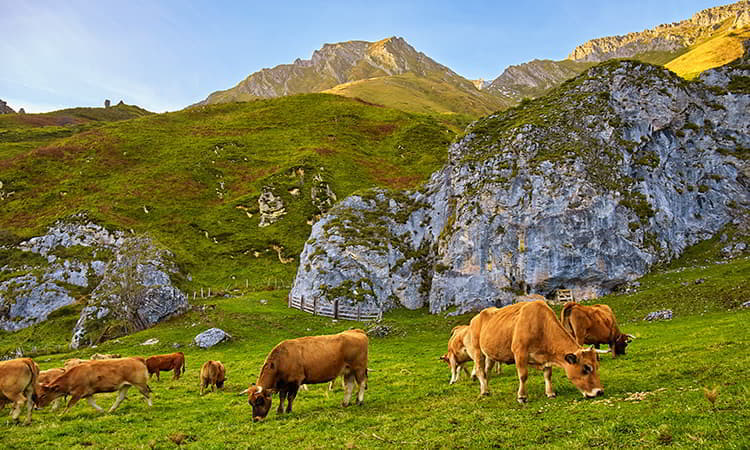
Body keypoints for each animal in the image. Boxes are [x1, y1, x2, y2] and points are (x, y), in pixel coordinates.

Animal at [472, 300, 608, 402]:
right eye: (586, 368)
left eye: (597, 367)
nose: (599, 392)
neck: (541, 325)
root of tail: (477, 316)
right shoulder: (520, 353)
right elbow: (523, 375)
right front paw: (522, 396)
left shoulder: (546, 356)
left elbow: (548, 374)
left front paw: (550, 393)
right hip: (477, 351)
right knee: (479, 370)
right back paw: (484, 391)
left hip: (490, 355)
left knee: (487, 371)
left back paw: (486, 389)